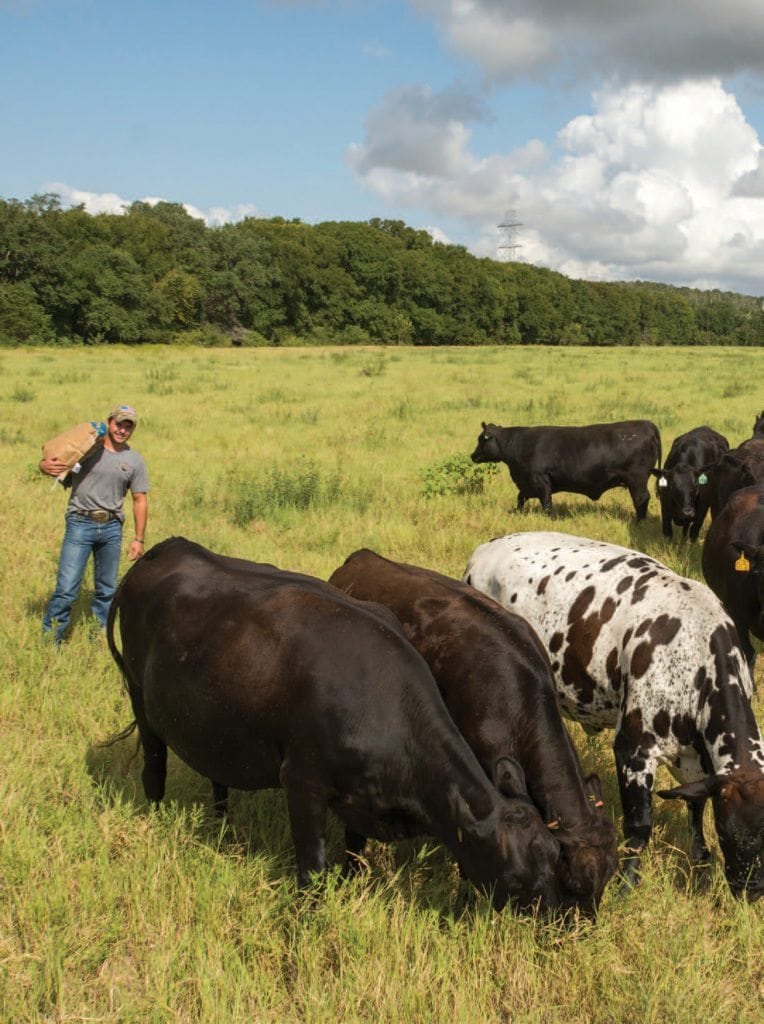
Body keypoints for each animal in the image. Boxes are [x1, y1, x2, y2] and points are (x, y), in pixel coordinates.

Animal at [105, 536, 561, 913]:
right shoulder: (303, 782)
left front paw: (351, 883)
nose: (556, 919)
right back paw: (157, 816)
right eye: (514, 879)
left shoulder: (360, 798)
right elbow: (312, 867)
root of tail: (164, 549)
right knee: (154, 767)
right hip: (140, 700)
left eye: (553, 855)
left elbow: (355, 851)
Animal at [460, 532, 761, 901]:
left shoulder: (696, 760)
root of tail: (487, 548)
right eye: (728, 831)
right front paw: (626, 883)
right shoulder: (634, 748)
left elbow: (695, 804)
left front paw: (701, 863)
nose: (753, 891)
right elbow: (639, 826)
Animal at [467, 417, 659, 516]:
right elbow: (520, 498)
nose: (472, 455)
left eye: (481, 439)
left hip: (637, 479)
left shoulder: (540, 480)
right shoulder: (526, 484)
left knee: (641, 499)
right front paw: (517, 512)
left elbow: (546, 503)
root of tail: (646, 423)